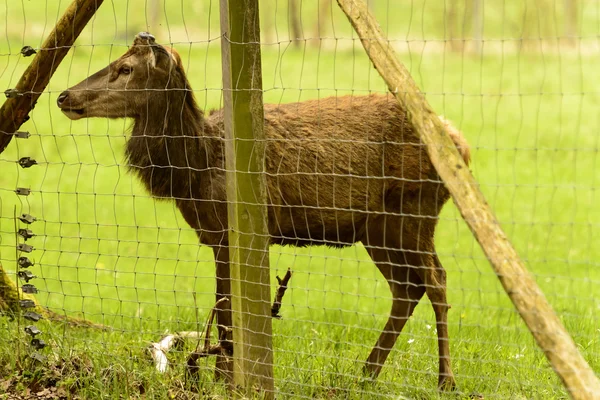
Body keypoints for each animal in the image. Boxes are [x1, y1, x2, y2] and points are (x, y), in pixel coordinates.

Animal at [56, 32, 468, 390]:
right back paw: (366, 374)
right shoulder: (216, 236)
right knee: (407, 287)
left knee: (436, 280)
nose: (63, 96)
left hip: (413, 210)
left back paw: (444, 380)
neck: (197, 168)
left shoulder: (230, 232)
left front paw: (224, 380)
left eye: (126, 68)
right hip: (378, 230)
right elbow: (226, 310)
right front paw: (223, 376)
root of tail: (460, 145)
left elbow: (227, 313)